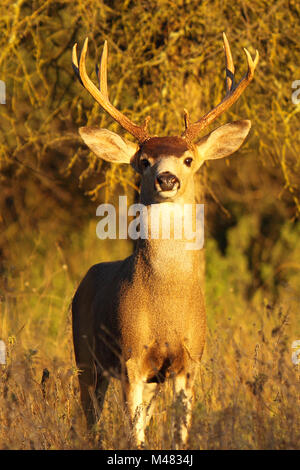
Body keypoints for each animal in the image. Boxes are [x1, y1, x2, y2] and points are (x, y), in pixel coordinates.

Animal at [71, 34, 258, 448]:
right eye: (143, 160)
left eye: (188, 158)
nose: (167, 179)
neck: (165, 305)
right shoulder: (130, 360)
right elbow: (136, 435)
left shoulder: (188, 361)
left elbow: (178, 432)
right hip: (84, 355)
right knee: (90, 418)